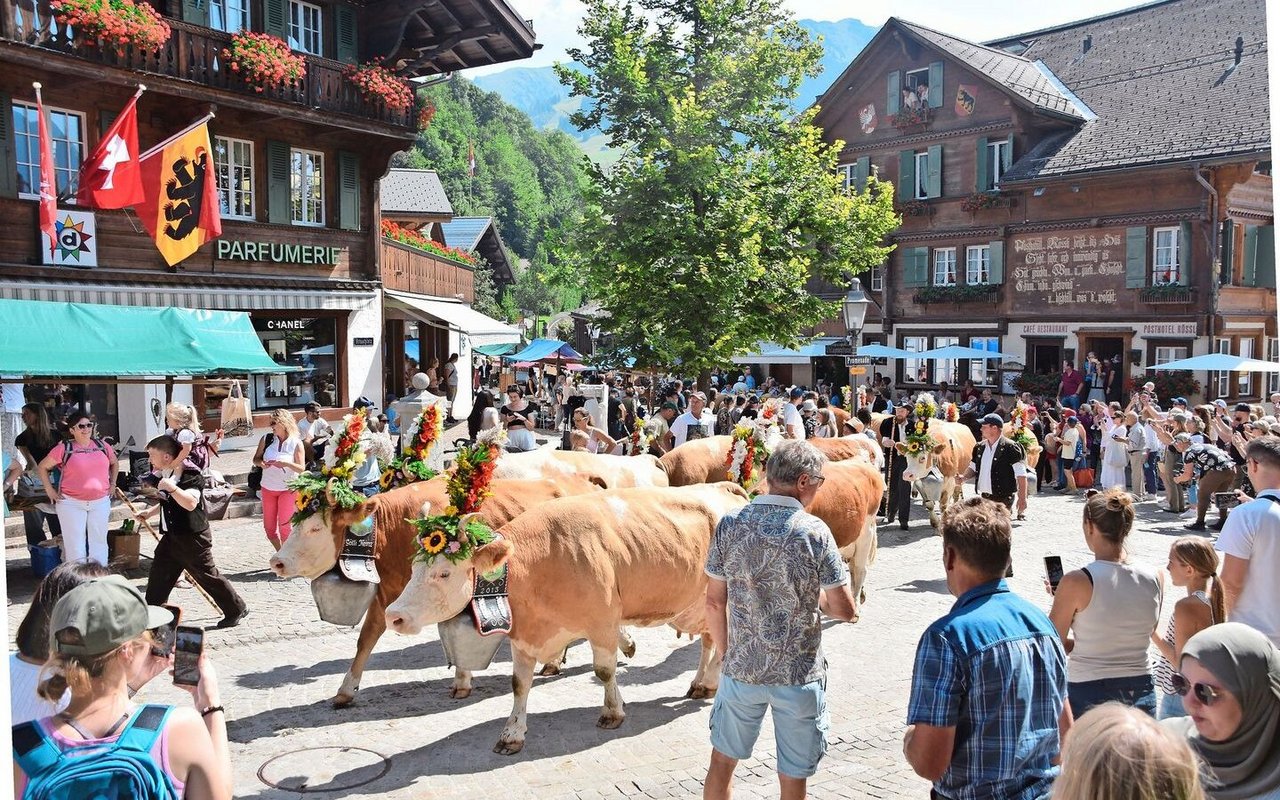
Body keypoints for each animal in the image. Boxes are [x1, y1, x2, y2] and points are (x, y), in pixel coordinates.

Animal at [268, 473, 599, 706]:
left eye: (315, 528)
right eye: (296, 522)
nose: (277, 562)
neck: (396, 527)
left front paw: (462, 679)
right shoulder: (391, 592)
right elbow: (367, 637)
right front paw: (346, 689)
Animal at [389, 481, 747, 752]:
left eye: (445, 573)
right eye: (414, 567)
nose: (394, 615)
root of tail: (726, 487)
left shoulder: (603, 621)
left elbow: (604, 671)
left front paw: (613, 711)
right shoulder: (524, 634)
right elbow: (520, 684)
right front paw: (512, 733)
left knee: (725, 646)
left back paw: (709, 682)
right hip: (702, 605)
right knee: (709, 641)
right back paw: (701, 684)